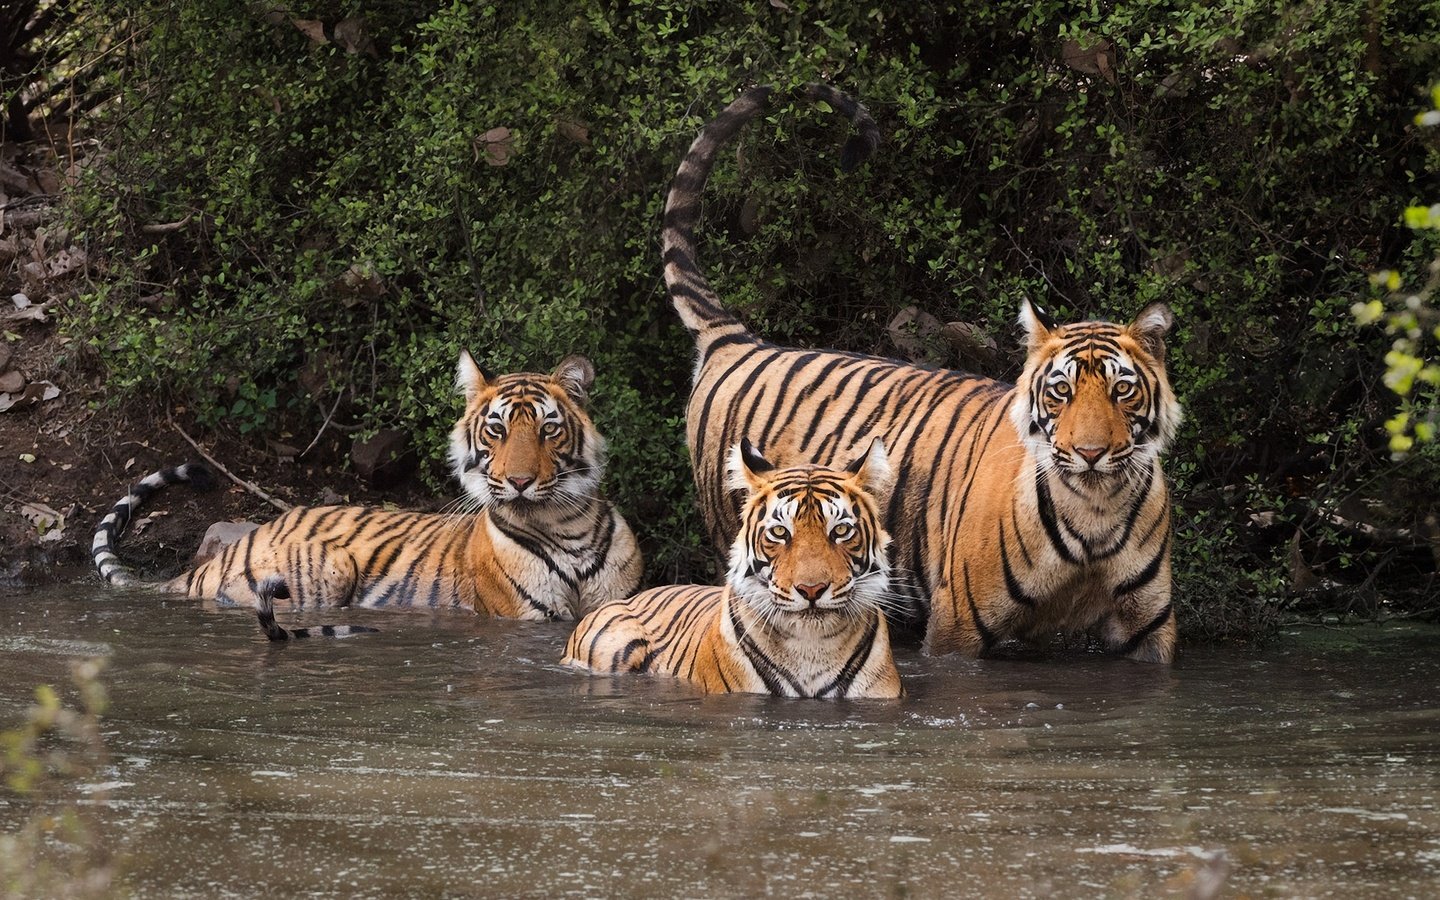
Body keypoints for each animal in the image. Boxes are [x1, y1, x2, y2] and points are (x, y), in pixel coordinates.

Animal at [92, 352, 645, 624]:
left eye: (548, 429)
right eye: (497, 430)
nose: (521, 481)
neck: (565, 526)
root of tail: (225, 553)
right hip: (327, 569)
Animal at [662, 84, 1180, 659]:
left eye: (1122, 390)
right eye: (1061, 391)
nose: (1091, 454)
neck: (1096, 510)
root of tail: (737, 342)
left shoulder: (1149, 633)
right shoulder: (957, 628)